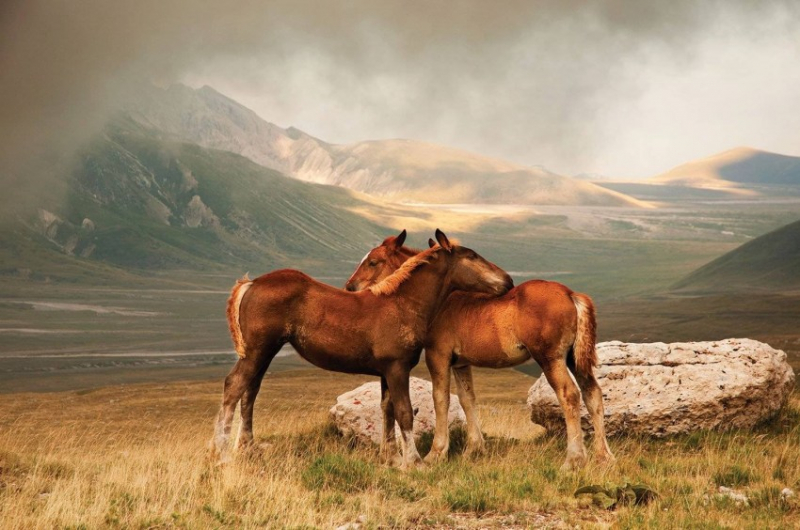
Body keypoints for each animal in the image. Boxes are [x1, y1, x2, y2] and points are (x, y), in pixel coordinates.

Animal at [214, 228, 512, 466]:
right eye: (472, 256)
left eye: (373, 261)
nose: (508, 280)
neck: (402, 303)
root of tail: (252, 283)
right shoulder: (397, 368)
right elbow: (404, 413)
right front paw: (413, 461)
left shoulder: (386, 372)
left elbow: (388, 409)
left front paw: (392, 458)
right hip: (257, 351)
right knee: (234, 386)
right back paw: (222, 453)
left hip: (264, 353)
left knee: (250, 391)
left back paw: (247, 448)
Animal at [344, 229, 612, 468]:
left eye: (373, 262)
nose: (350, 287)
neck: (441, 301)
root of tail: (571, 294)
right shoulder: (461, 363)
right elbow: (467, 399)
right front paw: (474, 449)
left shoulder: (437, 355)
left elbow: (440, 398)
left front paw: (436, 453)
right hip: (574, 359)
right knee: (592, 394)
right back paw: (603, 457)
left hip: (550, 358)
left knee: (570, 395)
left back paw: (574, 460)